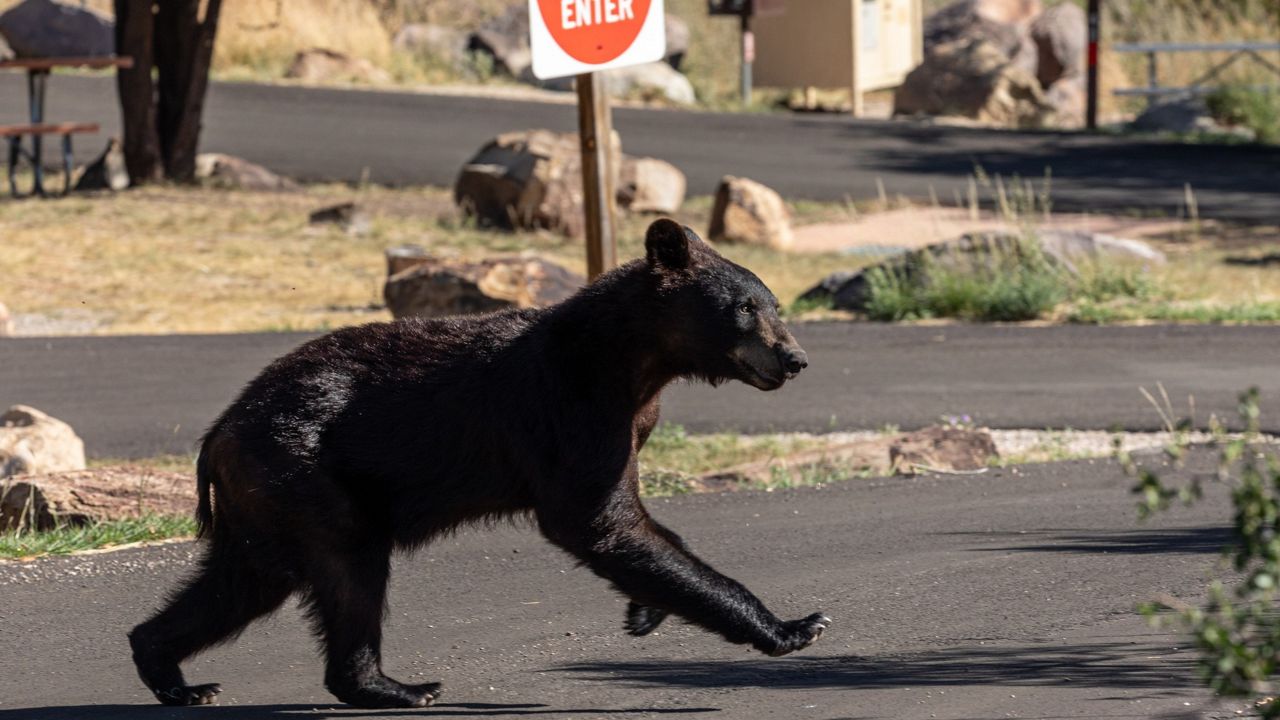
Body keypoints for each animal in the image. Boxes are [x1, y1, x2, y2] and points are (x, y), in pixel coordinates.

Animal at [129, 217, 829, 707]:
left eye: (775, 305)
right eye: (744, 309)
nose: (794, 358)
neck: (632, 362)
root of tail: (218, 432)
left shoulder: (634, 421)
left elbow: (629, 525)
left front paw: (645, 609)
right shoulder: (572, 408)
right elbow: (596, 520)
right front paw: (797, 624)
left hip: (266, 498)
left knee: (243, 580)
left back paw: (174, 672)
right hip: (304, 472)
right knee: (348, 570)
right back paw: (400, 686)